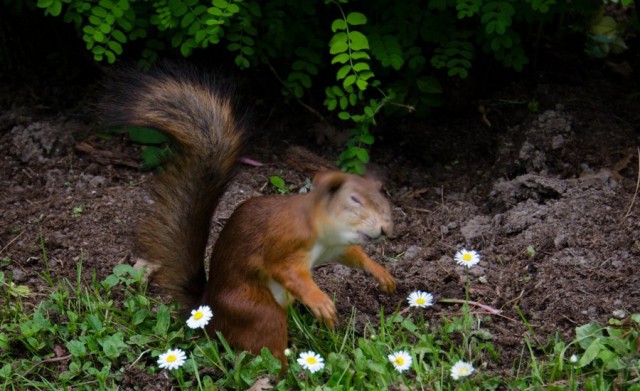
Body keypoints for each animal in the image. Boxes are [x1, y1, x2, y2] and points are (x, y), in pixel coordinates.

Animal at [99, 64, 396, 370]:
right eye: (354, 200)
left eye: (383, 196)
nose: (386, 228)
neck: (324, 232)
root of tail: (208, 309)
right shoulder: (285, 243)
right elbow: (287, 271)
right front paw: (320, 302)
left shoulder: (336, 247)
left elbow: (353, 255)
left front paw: (381, 273)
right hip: (256, 310)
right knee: (268, 340)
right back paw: (288, 371)